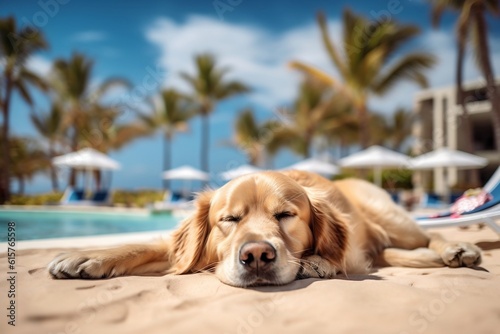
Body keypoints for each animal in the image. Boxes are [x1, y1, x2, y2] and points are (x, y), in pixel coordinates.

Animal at [48, 170, 482, 288]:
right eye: (229, 220)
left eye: (286, 215)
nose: (257, 255)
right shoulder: (182, 249)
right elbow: (140, 246)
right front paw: (86, 257)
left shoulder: (354, 251)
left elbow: (342, 258)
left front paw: (319, 262)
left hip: (391, 217)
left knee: (429, 235)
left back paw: (458, 249)